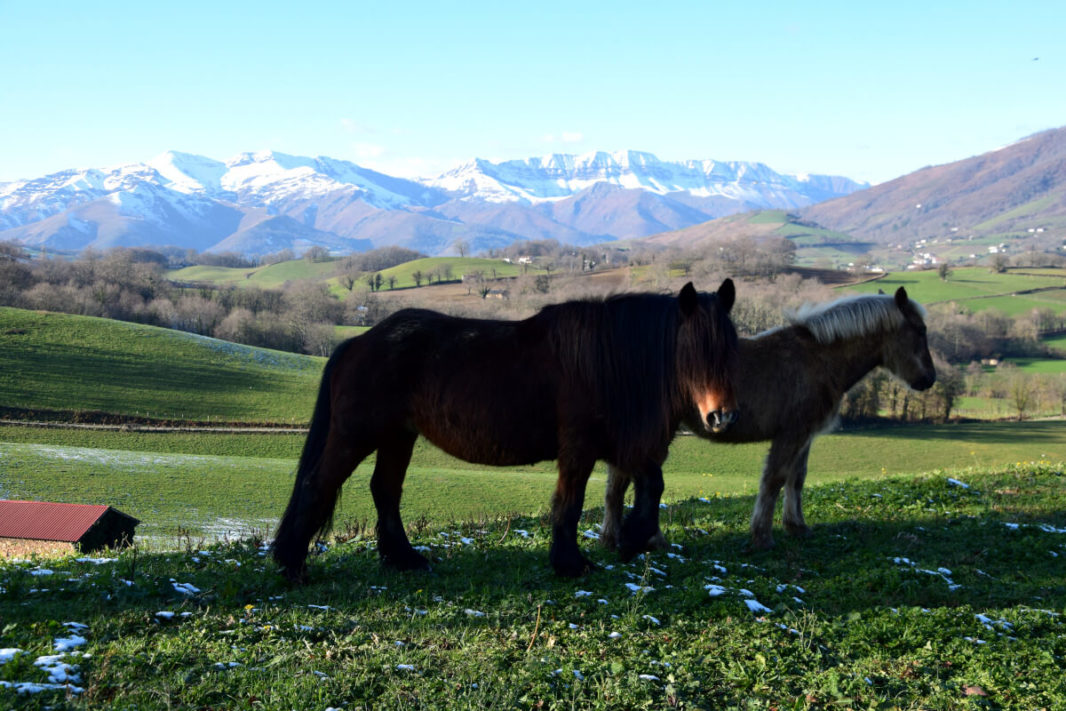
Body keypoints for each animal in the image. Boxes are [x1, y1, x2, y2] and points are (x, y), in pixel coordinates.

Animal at [275, 281, 741, 579]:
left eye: (731, 346)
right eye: (694, 349)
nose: (722, 417)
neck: (607, 362)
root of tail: (357, 342)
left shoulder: (624, 446)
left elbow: (652, 486)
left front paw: (630, 539)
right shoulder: (580, 448)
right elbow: (570, 503)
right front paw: (570, 563)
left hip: (398, 436)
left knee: (385, 490)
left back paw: (404, 558)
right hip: (356, 435)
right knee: (319, 484)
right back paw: (292, 564)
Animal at [605, 285, 938, 554]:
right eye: (921, 330)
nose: (930, 379)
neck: (819, 360)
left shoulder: (805, 436)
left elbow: (796, 478)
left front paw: (797, 527)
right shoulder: (790, 435)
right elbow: (774, 480)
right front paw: (762, 537)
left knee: (617, 484)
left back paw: (613, 539)